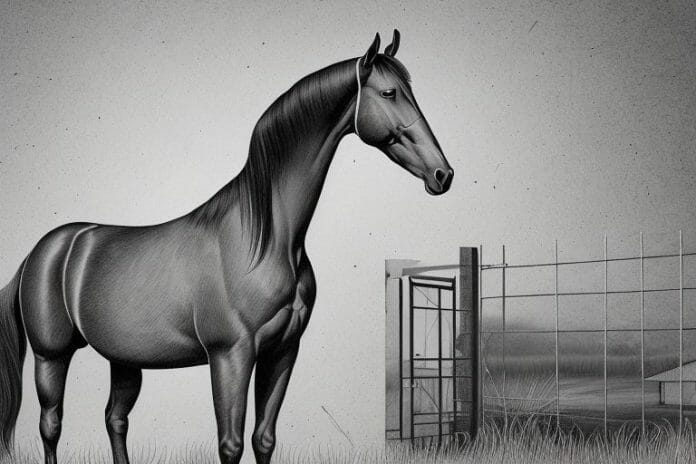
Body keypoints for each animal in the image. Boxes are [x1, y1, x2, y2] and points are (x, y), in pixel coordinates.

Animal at [0, 30, 453, 464]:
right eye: (390, 93)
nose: (442, 174)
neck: (265, 242)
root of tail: (44, 250)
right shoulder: (230, 356)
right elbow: (230, 444)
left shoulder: (282, 353)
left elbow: (263, 439)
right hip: (51, 357)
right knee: (51, 426)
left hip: (124, 360)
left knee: (115, 420)